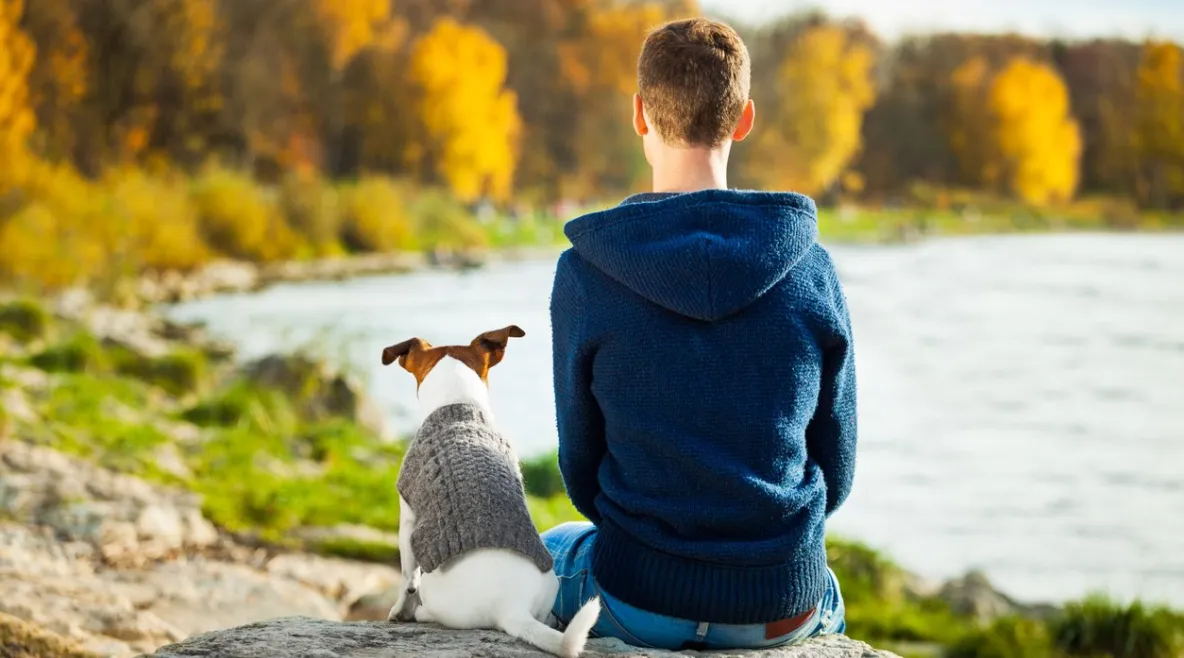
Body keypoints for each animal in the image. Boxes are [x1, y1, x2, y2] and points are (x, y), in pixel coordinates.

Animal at [381, 324, 601, 658]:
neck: (458, 405)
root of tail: (509, 607)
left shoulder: (407, 518)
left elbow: (407, 577)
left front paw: (399, 611)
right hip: (552, 580)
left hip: (435, 587)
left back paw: (421, 613)